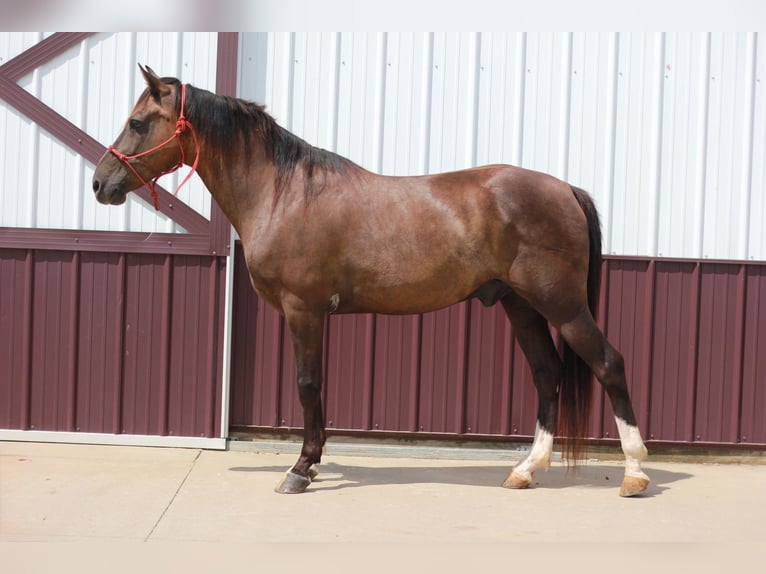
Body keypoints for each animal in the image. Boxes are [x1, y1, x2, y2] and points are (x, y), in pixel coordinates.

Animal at [93, 65, 650, 497]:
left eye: (137, 122)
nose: (100, 184)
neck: (282, 192)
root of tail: (567, 189)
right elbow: (317, 386)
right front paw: (313, 462)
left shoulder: (303, 308)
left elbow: (308, 385)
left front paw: (300, 470)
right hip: (522, 305)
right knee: (547, 375)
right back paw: (525, 470)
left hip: (561, 305)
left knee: (609, 364)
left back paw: (634, 472)